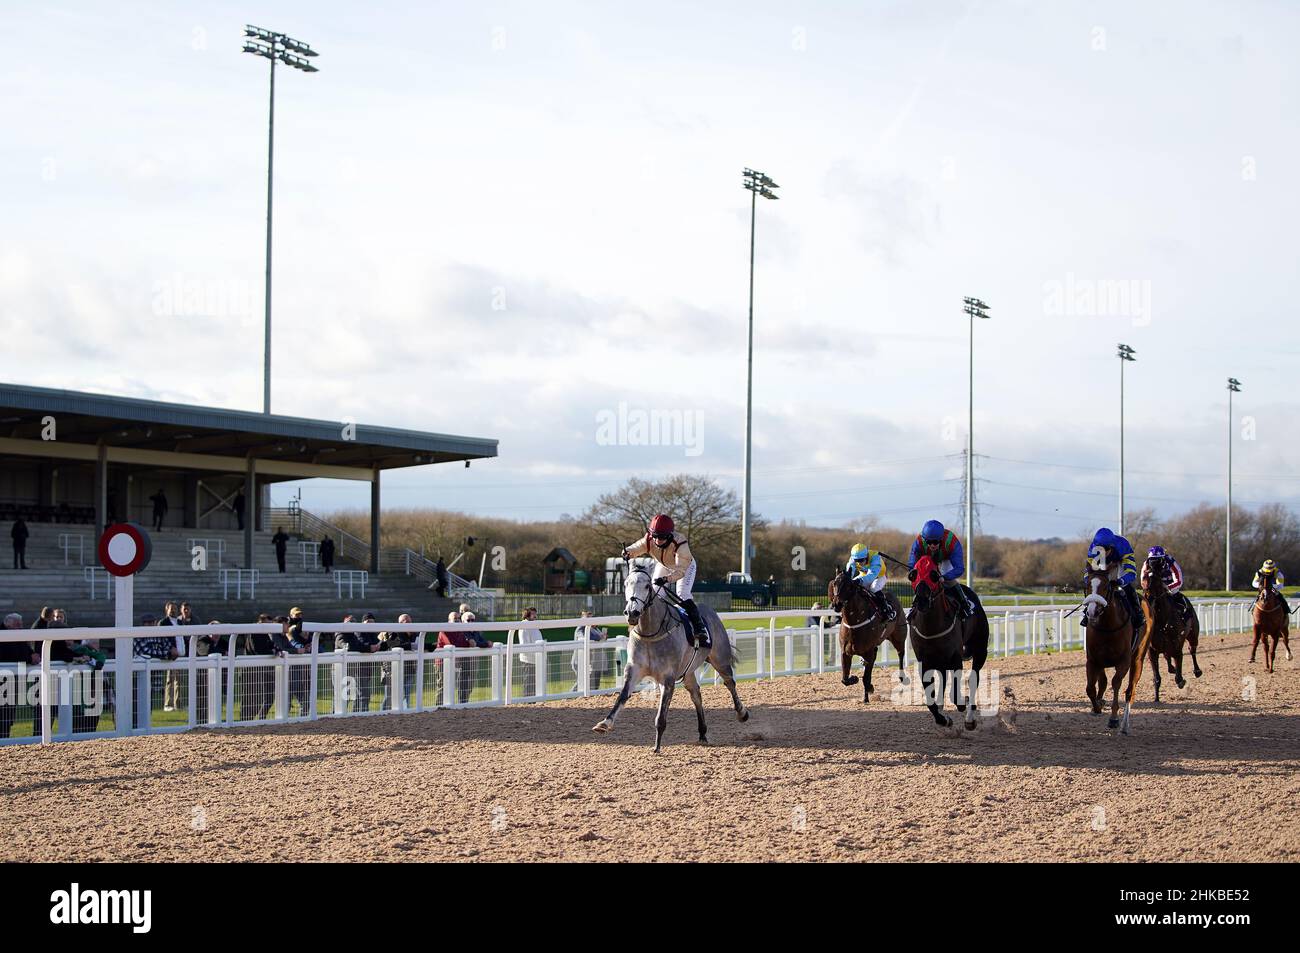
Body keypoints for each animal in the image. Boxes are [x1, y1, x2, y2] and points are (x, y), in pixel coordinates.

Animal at [592, 564, 748, 748]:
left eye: (647, 586)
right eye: (625, 584)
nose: (632, 613)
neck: (651, 633)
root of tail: (711, 612)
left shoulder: (668, 677)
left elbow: (662, 713)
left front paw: (657, 745)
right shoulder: (634, 670)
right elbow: (623, 695)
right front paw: (605, 723)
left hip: (720, 660)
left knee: (730, 683)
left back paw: (742, 713)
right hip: (688, 672)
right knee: (696, 694)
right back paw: (702, 732)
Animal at [832, 569, 904, 702]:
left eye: (849, 586)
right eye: (834, 583)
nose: (837, 604)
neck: (854, 622)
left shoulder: (869, 651)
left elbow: (865, 677)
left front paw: (866, 697)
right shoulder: (846, 652)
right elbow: (844, 679)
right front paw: (856, 679)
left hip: (899, 637)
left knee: (901, 654)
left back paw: (901, 678)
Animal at [1081, 564, 1133, 728]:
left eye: (1105, 587)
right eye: (1087, 585)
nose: (1092, 611)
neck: (1107, 627)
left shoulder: (1124, 660)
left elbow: (1116, 682)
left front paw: (1114, 717)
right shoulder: (1093, 660)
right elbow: (1090, 688)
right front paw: (1097, 706)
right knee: (1102, 681)